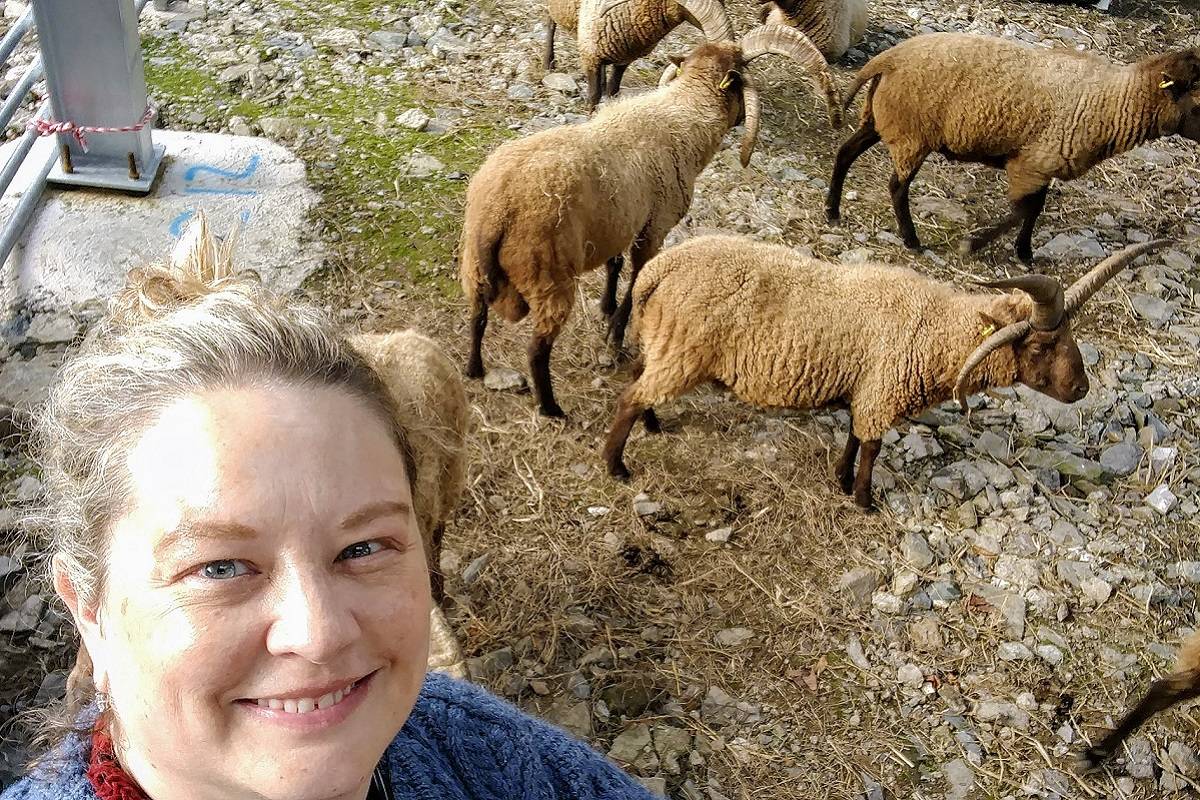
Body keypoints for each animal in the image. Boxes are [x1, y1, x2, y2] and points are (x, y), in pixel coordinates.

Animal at [461, 25, 839, 418]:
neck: (683, 116)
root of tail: (499, 211)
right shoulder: (655, 226)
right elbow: (637, 279)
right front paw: (615, 337)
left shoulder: (623, 220)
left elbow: (614, 265)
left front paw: (606, 307)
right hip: (548, 277)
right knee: (536, 350)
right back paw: (552, 409)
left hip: (472, 266)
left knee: (477, 316)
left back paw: (474, 369)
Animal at [543, 0, 734, 109]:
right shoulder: (590, 54)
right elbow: (594, 96)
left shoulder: (623, 59)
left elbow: (613, 91)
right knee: (550, 22)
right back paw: (548, 63)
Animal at [602, 235, 1167, 509]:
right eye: (1045, 343)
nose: (1081, 388)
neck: (936, 328)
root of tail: (657, 270)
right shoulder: (882, 388)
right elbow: (872, 447)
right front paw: (864, 500)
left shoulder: (867, 387)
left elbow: (856, 437)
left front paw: (840, 479)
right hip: (684, 349)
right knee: (629, 397)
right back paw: (616, 467)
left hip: (664, 341)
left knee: (637, 379)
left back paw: (652, 425)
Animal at [825, 32, 1200, 263]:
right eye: (1197, 101)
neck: (1112, 100)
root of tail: (888, 58)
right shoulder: (1029, 164)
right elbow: (1023, 210)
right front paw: (973, 245)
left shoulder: (1043, 165)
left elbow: (1034, 210)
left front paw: (1024, 252)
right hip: (911, 134)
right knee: (897, 186)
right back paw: (911, 240)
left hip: (883, 119)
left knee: (845, 152)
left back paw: (832, 211)